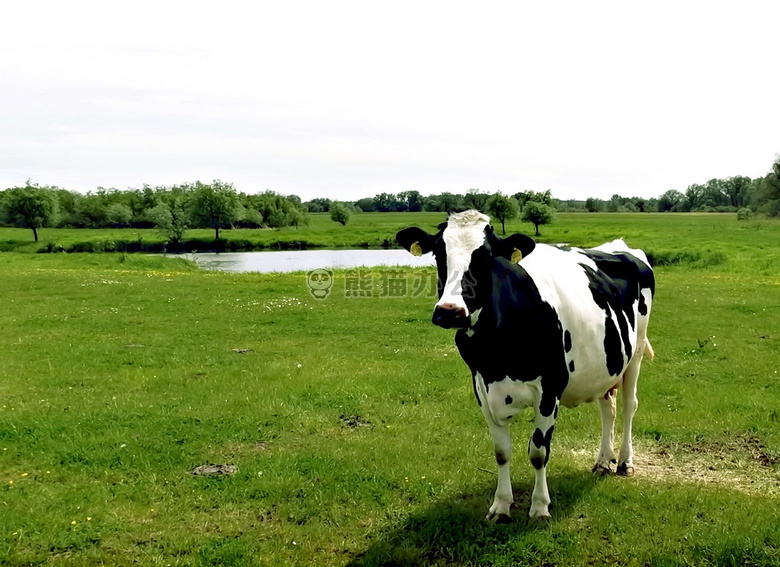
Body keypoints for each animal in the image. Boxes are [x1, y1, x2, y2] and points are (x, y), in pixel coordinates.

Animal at [394, 211, 656, 520]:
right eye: (438, 253)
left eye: (486, 256)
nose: (450, 311)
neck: (498, 353)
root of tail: (620, 246)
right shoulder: (481, 386)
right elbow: (501, 451)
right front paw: (501, 505)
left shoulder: (551, 388)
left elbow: (538, 452)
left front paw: (540, 506)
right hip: (605, 365)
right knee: (608, 407)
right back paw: (603, 461)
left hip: (635, 352)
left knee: (629, 405)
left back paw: (625, 462)